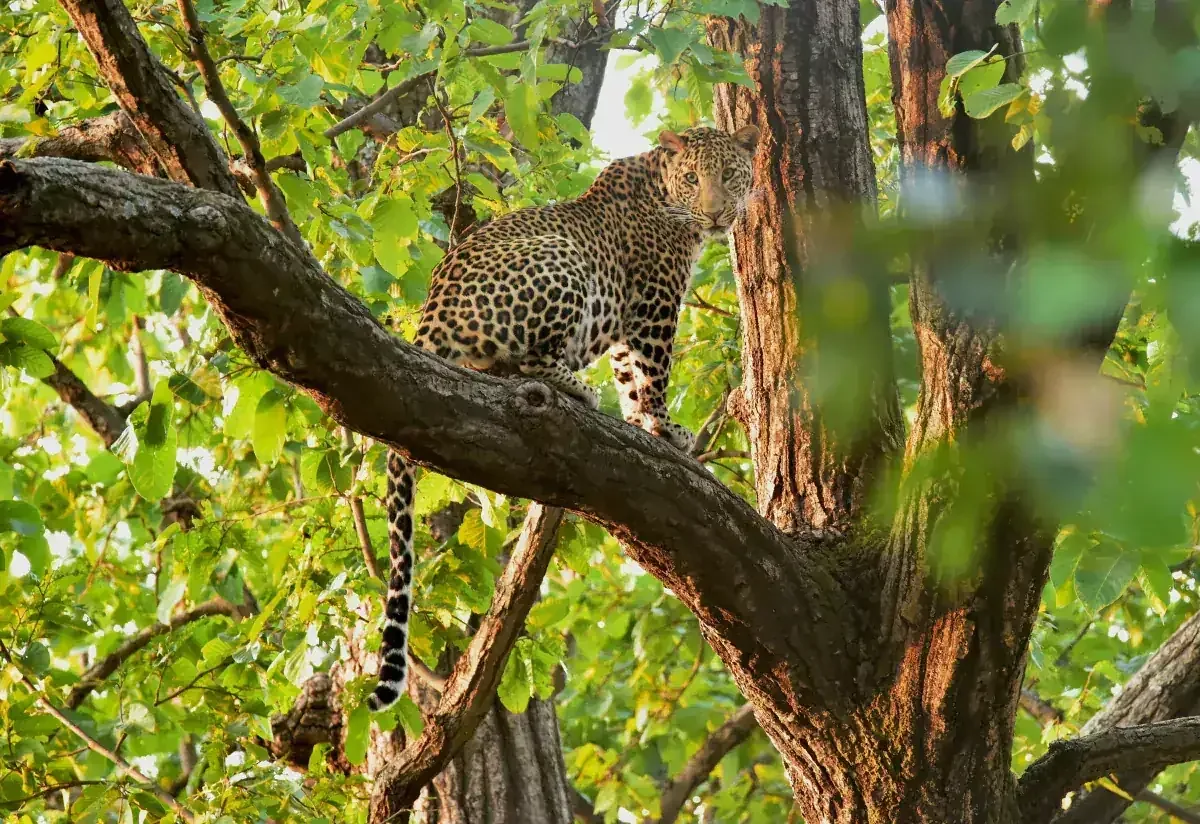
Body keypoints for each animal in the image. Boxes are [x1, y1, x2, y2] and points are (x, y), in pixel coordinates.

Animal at [368, 124, 760, 711]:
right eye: (693, 179)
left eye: (730, 176)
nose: (716, 215)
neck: (665, 195)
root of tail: (432, 315)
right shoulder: (654, 304)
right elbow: (654, 374)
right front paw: (664, 428)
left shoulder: (626, 325)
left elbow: (630, 378)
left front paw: (641, 424)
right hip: (561, 257)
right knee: (527, 363)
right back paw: (576, 389)